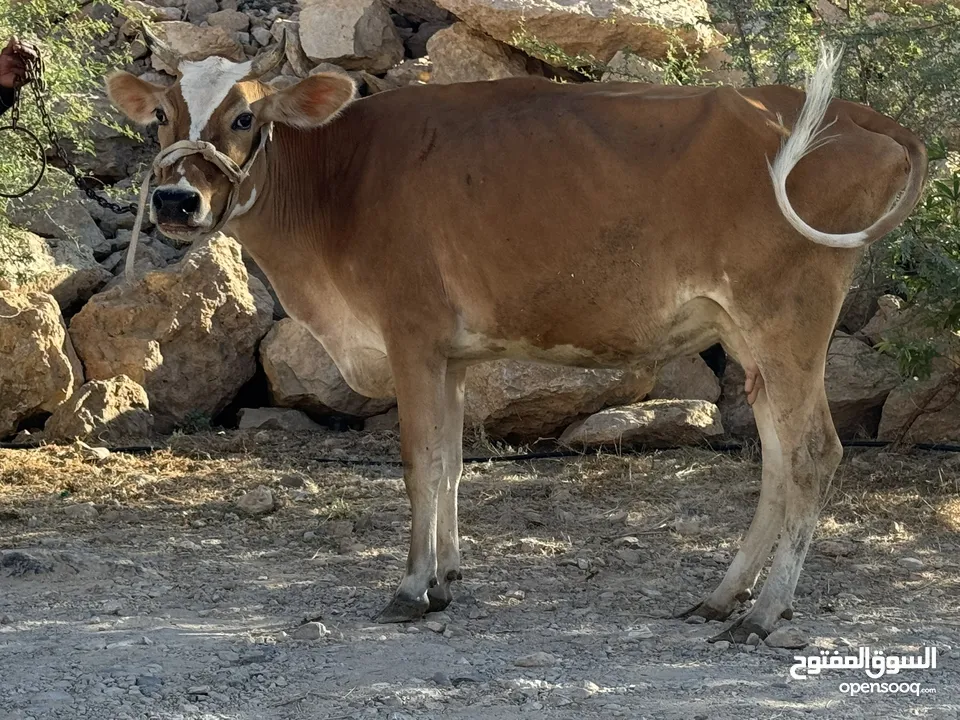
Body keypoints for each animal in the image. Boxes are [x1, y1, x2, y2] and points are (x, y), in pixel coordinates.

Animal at [109, 40, 928, 640]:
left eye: (245, 118)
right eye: (161, 117)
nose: (177, 199)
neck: (339, 184)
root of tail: (853, 111)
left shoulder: (411, 336)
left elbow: (419, 462)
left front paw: (412, 587)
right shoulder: (452, 354)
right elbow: (449, 465)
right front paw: (445, 578)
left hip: (787, 316)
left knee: (814, 453)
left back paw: (764, 614)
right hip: (751, 338)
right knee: (779, 459)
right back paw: (723, 597)